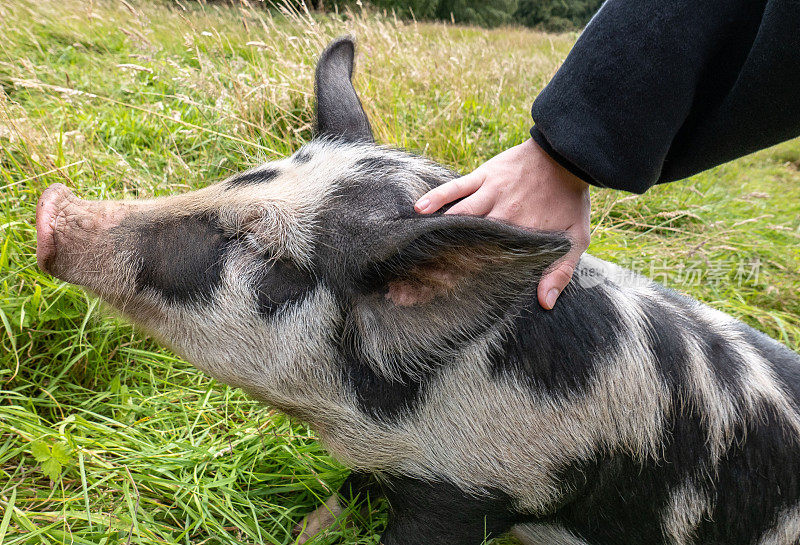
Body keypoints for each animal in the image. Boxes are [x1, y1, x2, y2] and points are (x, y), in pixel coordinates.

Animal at [34, 36, 800, 540]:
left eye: (271, 256)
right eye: (241, 176)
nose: (53, 208)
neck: (365, 420)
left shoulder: (473, 489)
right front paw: (312, 527)